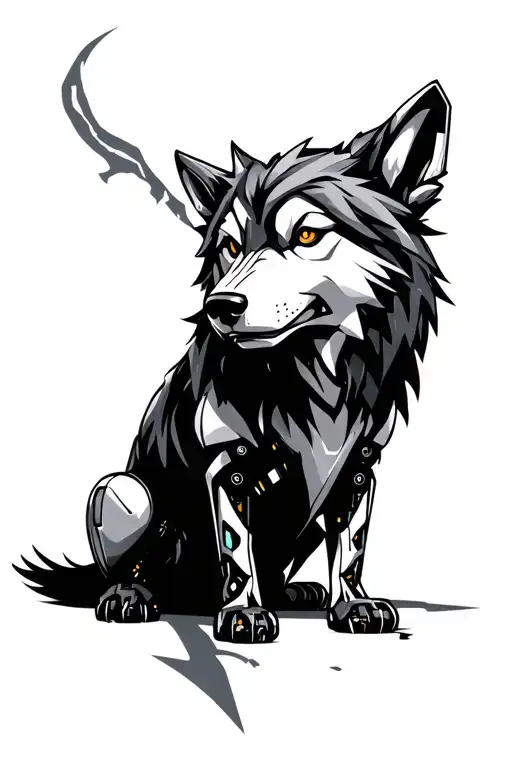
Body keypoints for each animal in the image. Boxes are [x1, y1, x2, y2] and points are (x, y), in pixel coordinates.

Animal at [14, 32, 451, 643]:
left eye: (308, 235)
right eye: (228, 247)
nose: (220, 307)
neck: (315, 373)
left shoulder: (360, 465)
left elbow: (352, 545)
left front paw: (353, 603)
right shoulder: (231, 462)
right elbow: (236, 549)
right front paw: (244, 611)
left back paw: (294, 591)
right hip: (123, 491)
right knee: (139, 563)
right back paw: (131, 594)